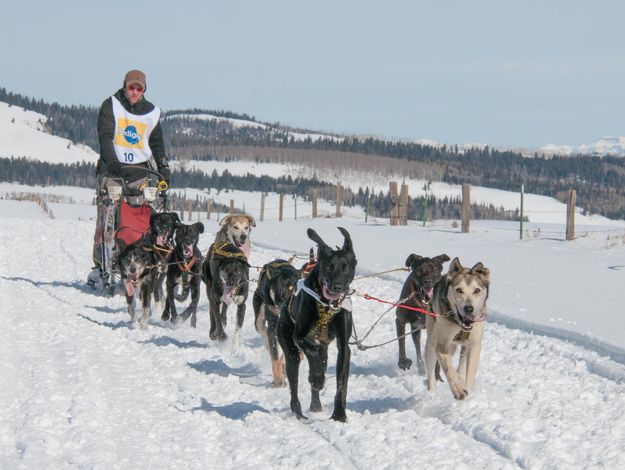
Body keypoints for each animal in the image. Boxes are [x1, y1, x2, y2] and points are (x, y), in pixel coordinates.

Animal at [255, 258, 302, 388]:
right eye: (280, 290)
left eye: (295, 290)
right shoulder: (273, 327)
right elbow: (275, 355)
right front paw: (278, 380)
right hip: (259, 318)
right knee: (263, 329)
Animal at [278, 228, 356, 422]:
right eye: (328, 266)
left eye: (347, 267)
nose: (337, 287)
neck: (327, 306)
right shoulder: (299, 336)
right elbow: (312, 355)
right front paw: (317, 378)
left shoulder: (344, 346)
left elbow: (341, 381)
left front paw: (339, 415)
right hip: (289, 348)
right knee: (294, 383)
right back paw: (298, 412)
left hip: (325, 353)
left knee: (322, 364)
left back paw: (315, 404)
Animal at [422, 258, 490, 400]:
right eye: (459, 290)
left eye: (477, 290)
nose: (468, 309)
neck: (460, 324)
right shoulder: (441, 345)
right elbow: (449, 368)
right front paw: (458, 389)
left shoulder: (475, 345)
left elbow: (469, 374)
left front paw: (467, 390)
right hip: (431, 342)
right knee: (431, 368)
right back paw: (431, 393)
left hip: (458, 347)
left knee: (461, 363)